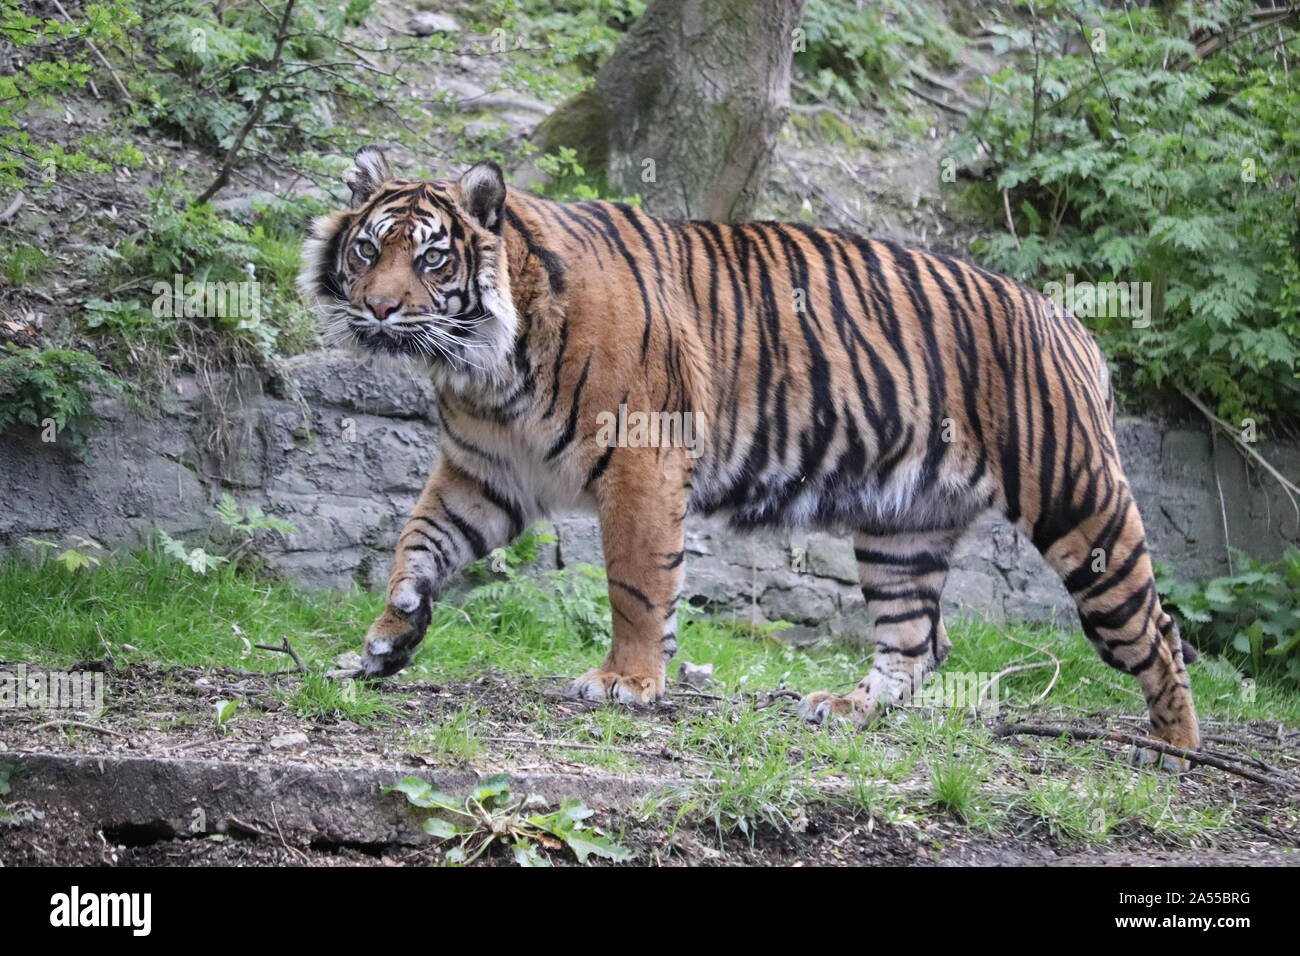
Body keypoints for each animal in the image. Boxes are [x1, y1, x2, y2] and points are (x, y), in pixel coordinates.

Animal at [298, 146, 1201, 761]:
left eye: (431, 256)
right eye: (367, 250)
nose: (379, 309)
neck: (487, 366)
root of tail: (1070, 320)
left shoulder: (642, 460)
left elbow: (635, 581)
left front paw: (625, 682)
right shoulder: (484, 472)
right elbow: (418, 542)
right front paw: (388, 638)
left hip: (1081, 510)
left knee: (1156, 629)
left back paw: (1173, 747)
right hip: (904, 528)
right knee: (919, 640)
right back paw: (846, 708)